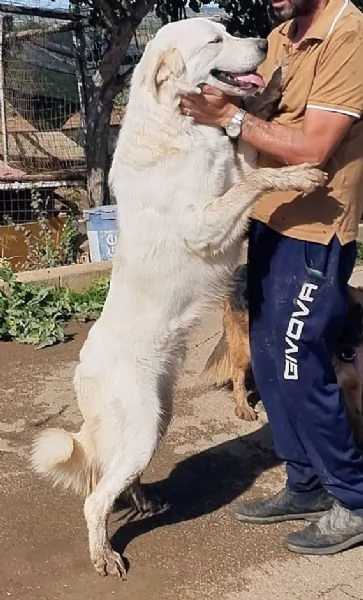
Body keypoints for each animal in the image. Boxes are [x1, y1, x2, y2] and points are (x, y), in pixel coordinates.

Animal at [32, 18, 328, 580]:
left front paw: (272, 90)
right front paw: (297, 172)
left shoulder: (234, 168)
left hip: (156, 418)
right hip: (144, 425)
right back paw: (103, 554)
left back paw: (142, 498)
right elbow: (257, 177)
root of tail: (82, 372)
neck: (179, 126)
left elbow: (250, 149)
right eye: (214, 40)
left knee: (115, 477)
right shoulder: (207, 223)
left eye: (229, 29)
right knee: (95, 499)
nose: (263, 42)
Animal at [203, 266, 363, 446]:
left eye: (360, 311)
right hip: (245, 346)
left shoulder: (352, 384)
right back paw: (243, 406)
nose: (356, 340)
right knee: (238, 374)